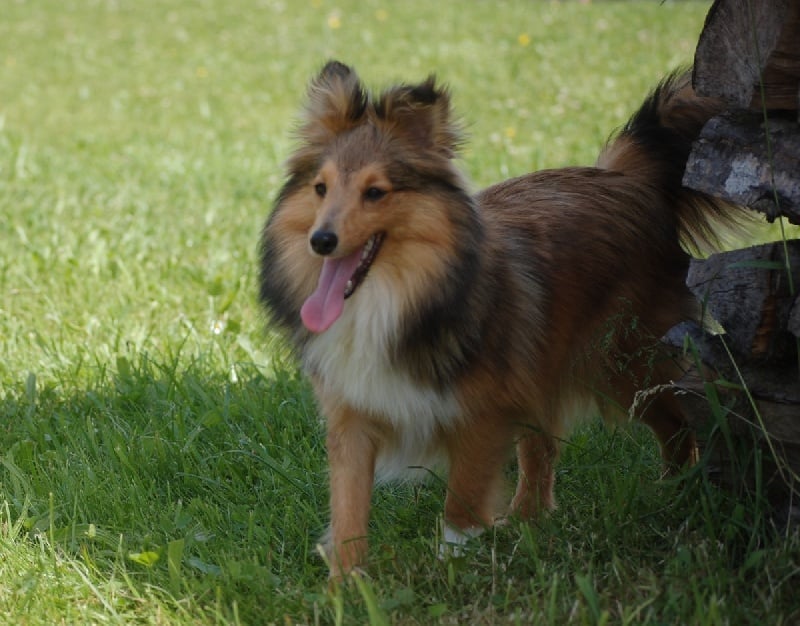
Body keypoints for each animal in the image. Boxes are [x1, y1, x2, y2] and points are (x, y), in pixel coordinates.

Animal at [260, 61, 736, 576]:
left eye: (375, 192)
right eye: (320, 188)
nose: (321, 240)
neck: (395, 298)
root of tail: (629, 178)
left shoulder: (481, 414)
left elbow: (461, 503)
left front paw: (454, 565)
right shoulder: (353, 416)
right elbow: (347, 507)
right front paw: (347, 582)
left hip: (621, 365)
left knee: (679, 421)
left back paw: (674, 493)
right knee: (542, 446)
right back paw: (528, 519)